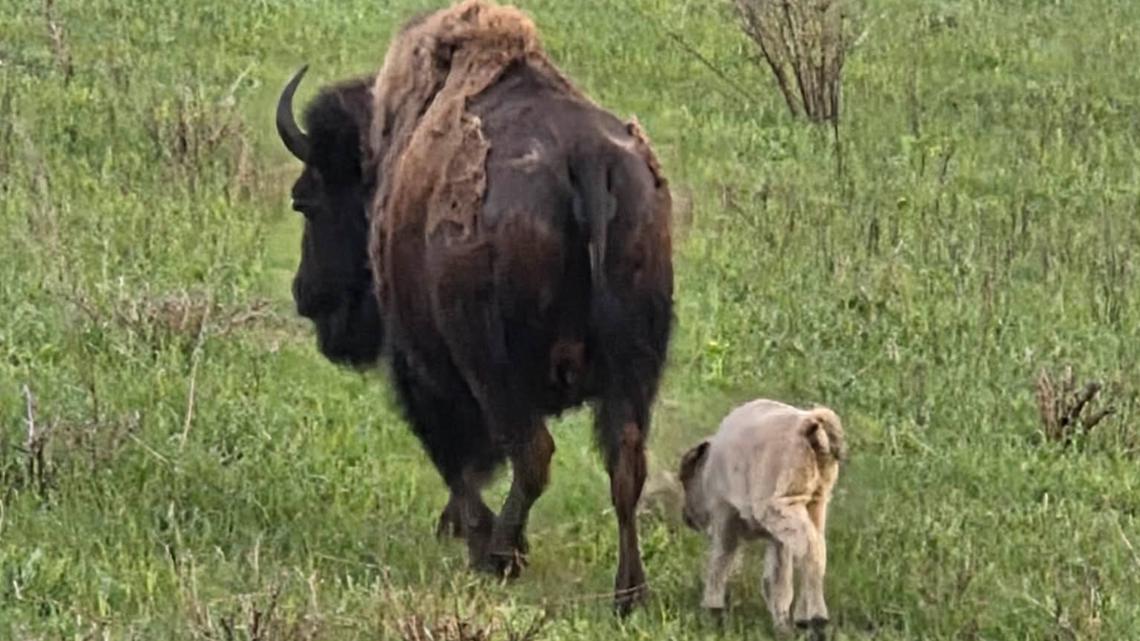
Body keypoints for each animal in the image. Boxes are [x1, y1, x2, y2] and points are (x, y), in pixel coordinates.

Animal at [274, 0, 674, 613]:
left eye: (307, 200)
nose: (305, 295)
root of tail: (586, 160)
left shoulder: (423, 369)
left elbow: (456, 460)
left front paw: (472, 535)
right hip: (635, 368)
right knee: (624, 463)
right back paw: (627, 593)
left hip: (492, 365)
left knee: (531, 453)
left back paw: (500, 555)